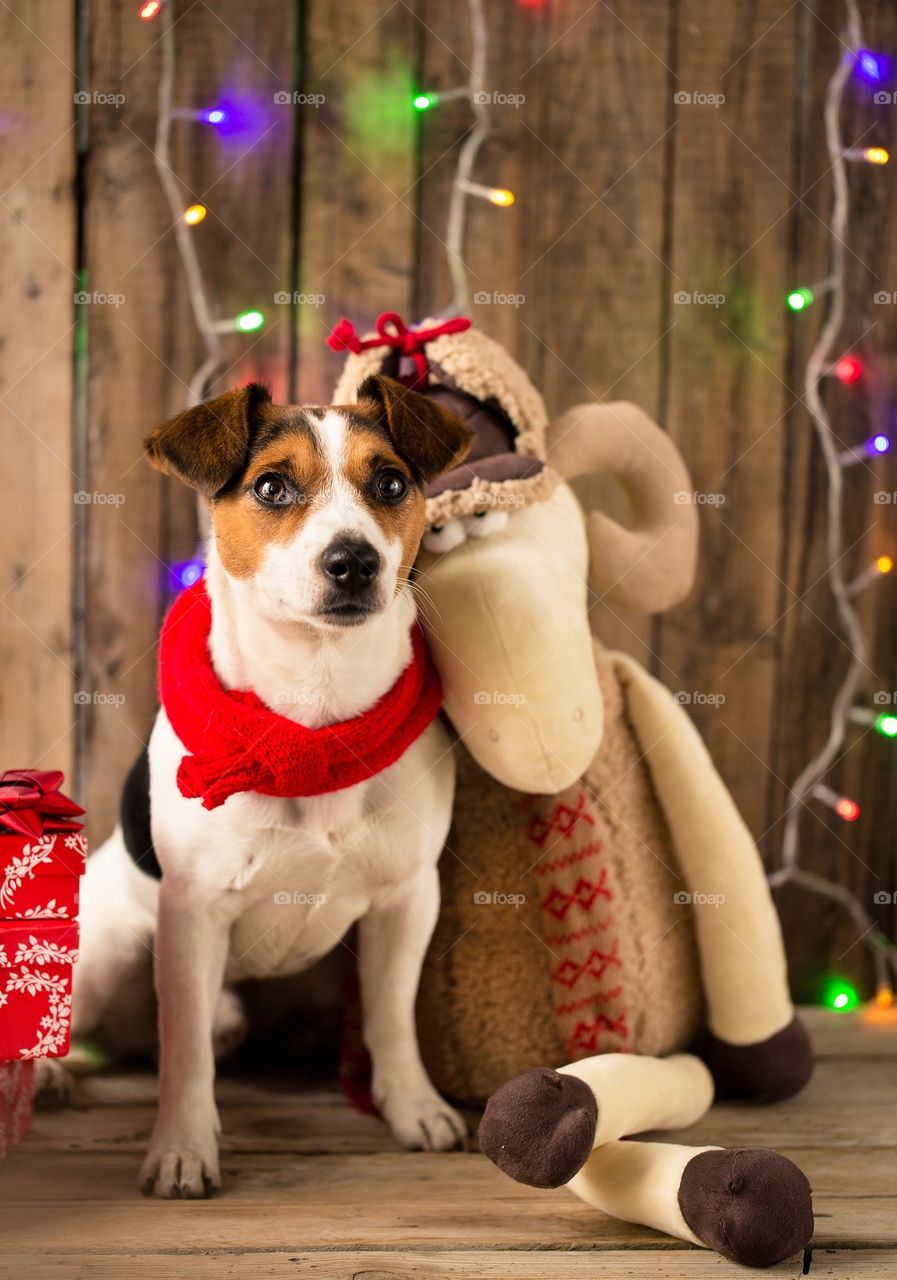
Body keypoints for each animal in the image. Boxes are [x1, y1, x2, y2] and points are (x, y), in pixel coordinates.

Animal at [68, 373, 476, 1192]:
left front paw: (413, 1105)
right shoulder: (192, 915)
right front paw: (182, 1147)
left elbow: (391, 1016)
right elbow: (185, 1054)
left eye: (391, 483)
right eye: (271, 486)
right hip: (106, 955)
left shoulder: (406, 899)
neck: (314, 723)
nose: (353, 561)